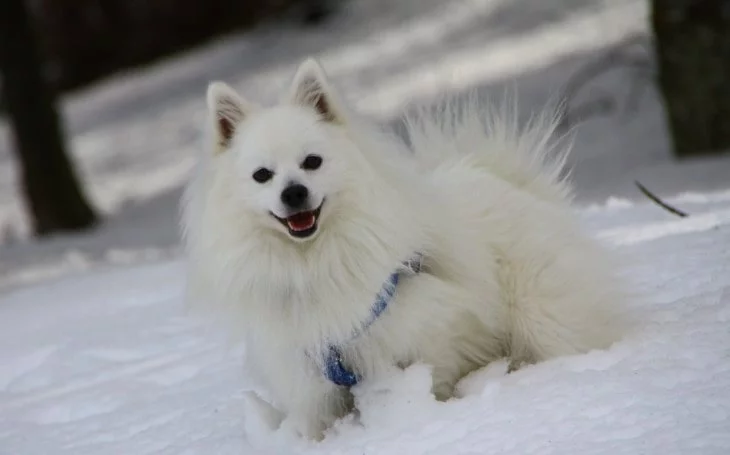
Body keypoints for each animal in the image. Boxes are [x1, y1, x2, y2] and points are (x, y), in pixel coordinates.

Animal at [179, 58, 628, 442]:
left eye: (312, 162)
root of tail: (506, 180)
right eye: (262, 175)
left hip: (541, 314)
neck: (312, 260)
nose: (294, 193)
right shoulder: (310, 379)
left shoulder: (426, 335)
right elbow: (317, 424)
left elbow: (436, 373)